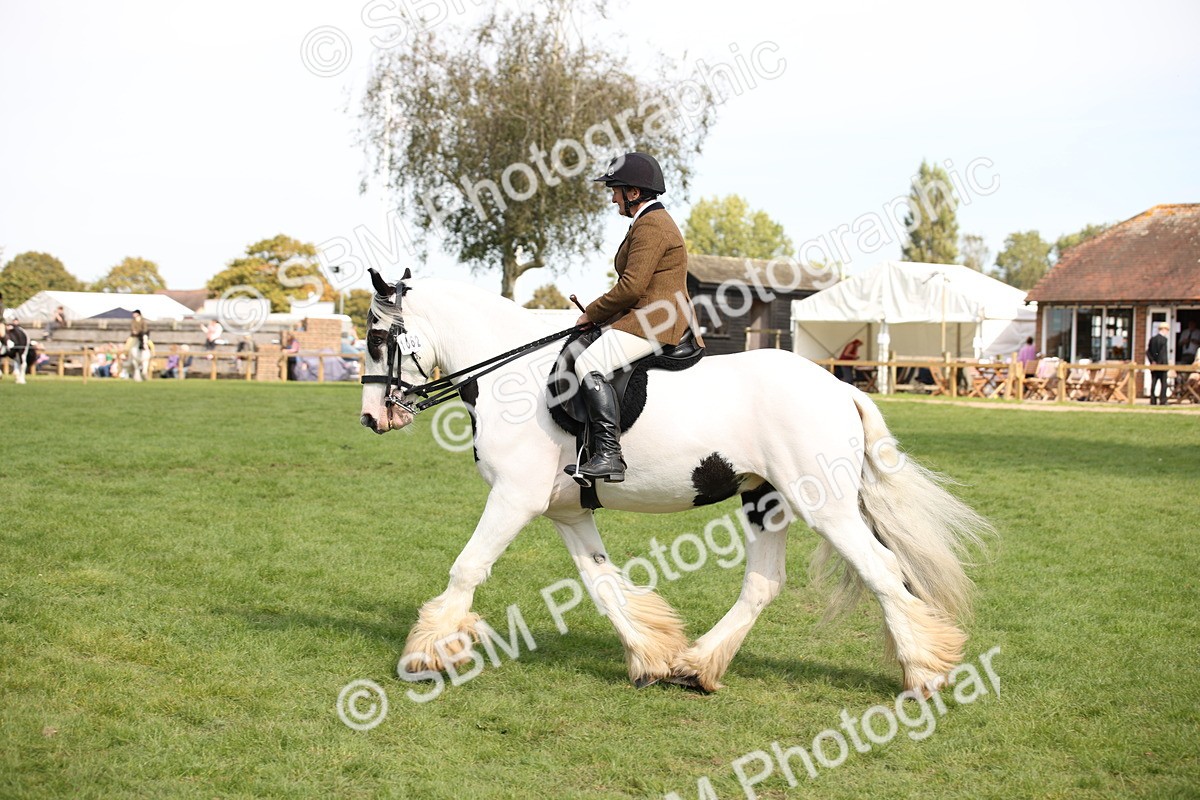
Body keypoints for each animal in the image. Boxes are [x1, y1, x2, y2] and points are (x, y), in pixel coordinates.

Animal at [359, 270, 992, 695]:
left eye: (374, 338)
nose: (371, 418)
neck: (511, 377)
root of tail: (840, 387)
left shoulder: (513, 498)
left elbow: (467, 568)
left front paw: (424, 655)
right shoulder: (568, 511)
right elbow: (603, 586)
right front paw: (652, 657)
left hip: (824, 506)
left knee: (881, 570)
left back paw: (923, 671)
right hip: (765, 500)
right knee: (763, 584)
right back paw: (697, 667)